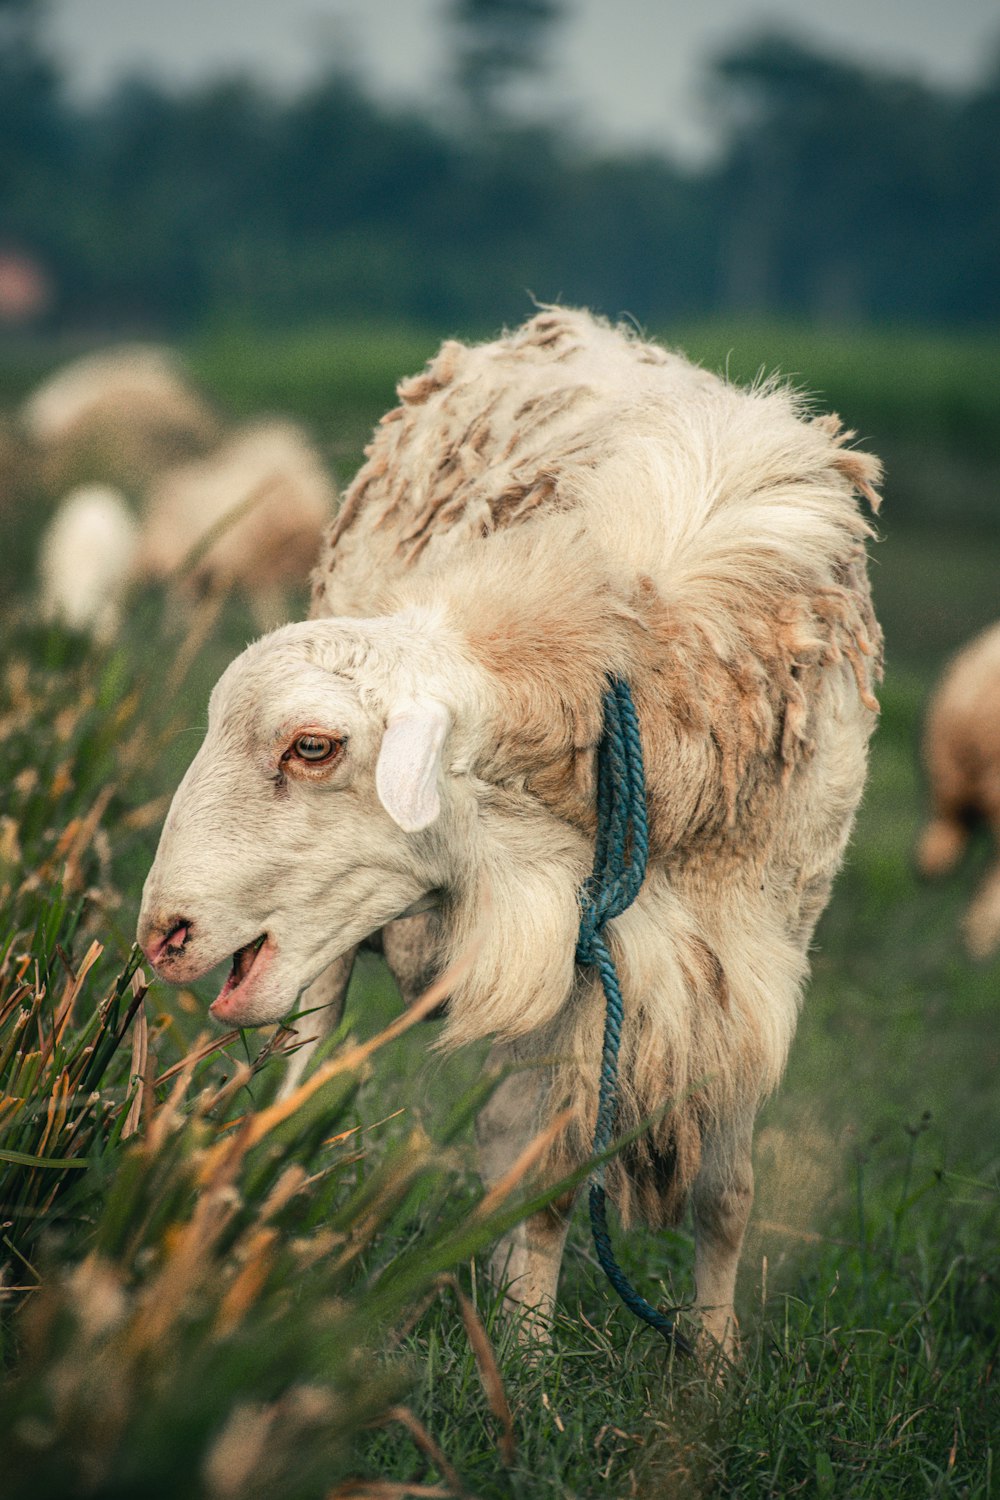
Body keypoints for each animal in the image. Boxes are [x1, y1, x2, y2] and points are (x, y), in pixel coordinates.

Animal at [134, 310, 881, 1356]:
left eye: (313, 746)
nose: (164, 933)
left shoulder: (755, 960)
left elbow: (725, 1195)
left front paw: (711, 1366)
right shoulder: (577, 954)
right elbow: (549, 1180)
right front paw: (528, 1356)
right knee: (311, 1084)